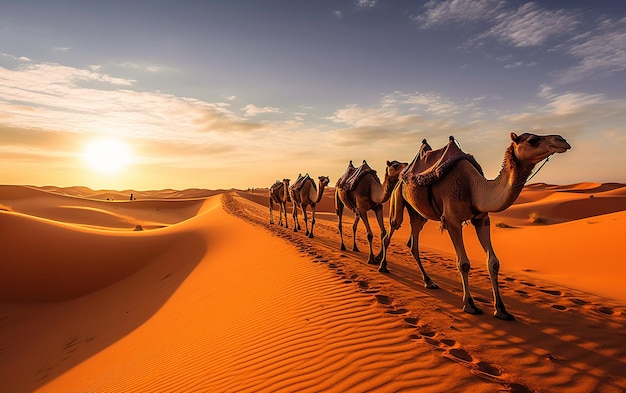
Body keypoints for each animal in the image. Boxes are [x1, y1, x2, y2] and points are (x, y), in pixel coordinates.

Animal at [378, 132, 568, 318]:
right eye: (532, 140)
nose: (562, 140)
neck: (474, 188)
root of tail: (402, 178)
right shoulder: (452, 221)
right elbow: (463, 263)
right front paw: (469, 305)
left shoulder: (482, 219)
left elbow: (493, 262)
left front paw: (501, 309)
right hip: (397, 199)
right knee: (391, 231)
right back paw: (382, 266)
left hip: (418, 215)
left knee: (413, 242)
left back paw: (429, 282)